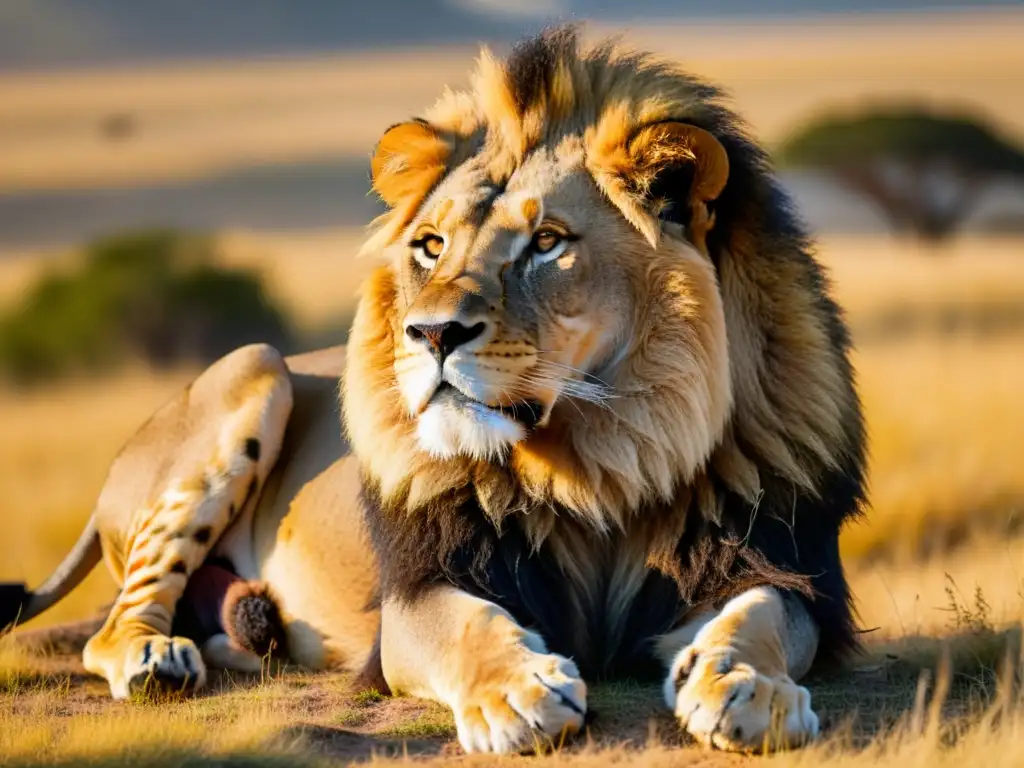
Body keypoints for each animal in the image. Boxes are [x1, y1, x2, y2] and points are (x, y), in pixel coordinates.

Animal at [0, 30, 864, 757]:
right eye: (431, 245)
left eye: (546, 242)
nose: (431, 334)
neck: (605, 456)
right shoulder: (423, 588)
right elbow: (466, 627)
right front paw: (517, 695)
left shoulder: (771, 555)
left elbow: (758, 617)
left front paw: (748, 690)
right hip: (254, 365)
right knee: (114, 626)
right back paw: (157, 655)